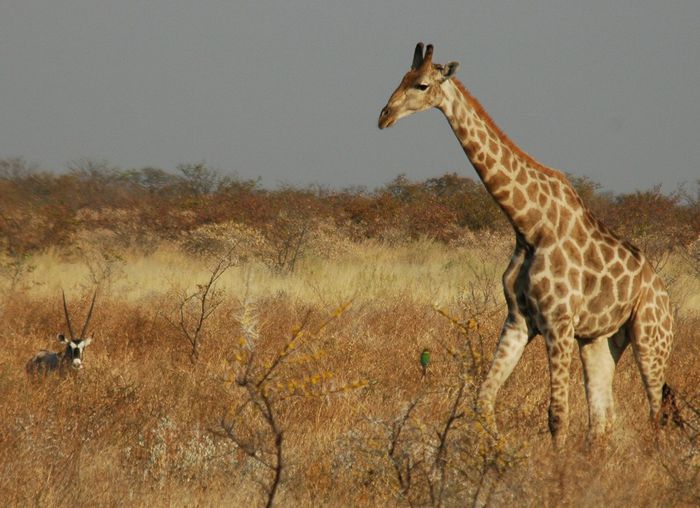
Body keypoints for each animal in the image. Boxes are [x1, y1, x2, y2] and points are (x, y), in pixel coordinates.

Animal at [380, 43, 680, 448]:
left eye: (422, 84)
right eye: (402, 78)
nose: (384, 116)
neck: (528, 225)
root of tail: (663, 293)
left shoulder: (558, 322)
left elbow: (557, 415)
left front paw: (555, 467)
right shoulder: (519, 320)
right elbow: (483, 398)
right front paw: (496, 453)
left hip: (650, 336)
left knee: (655, 411)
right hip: (602, 340)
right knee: (603, 418)